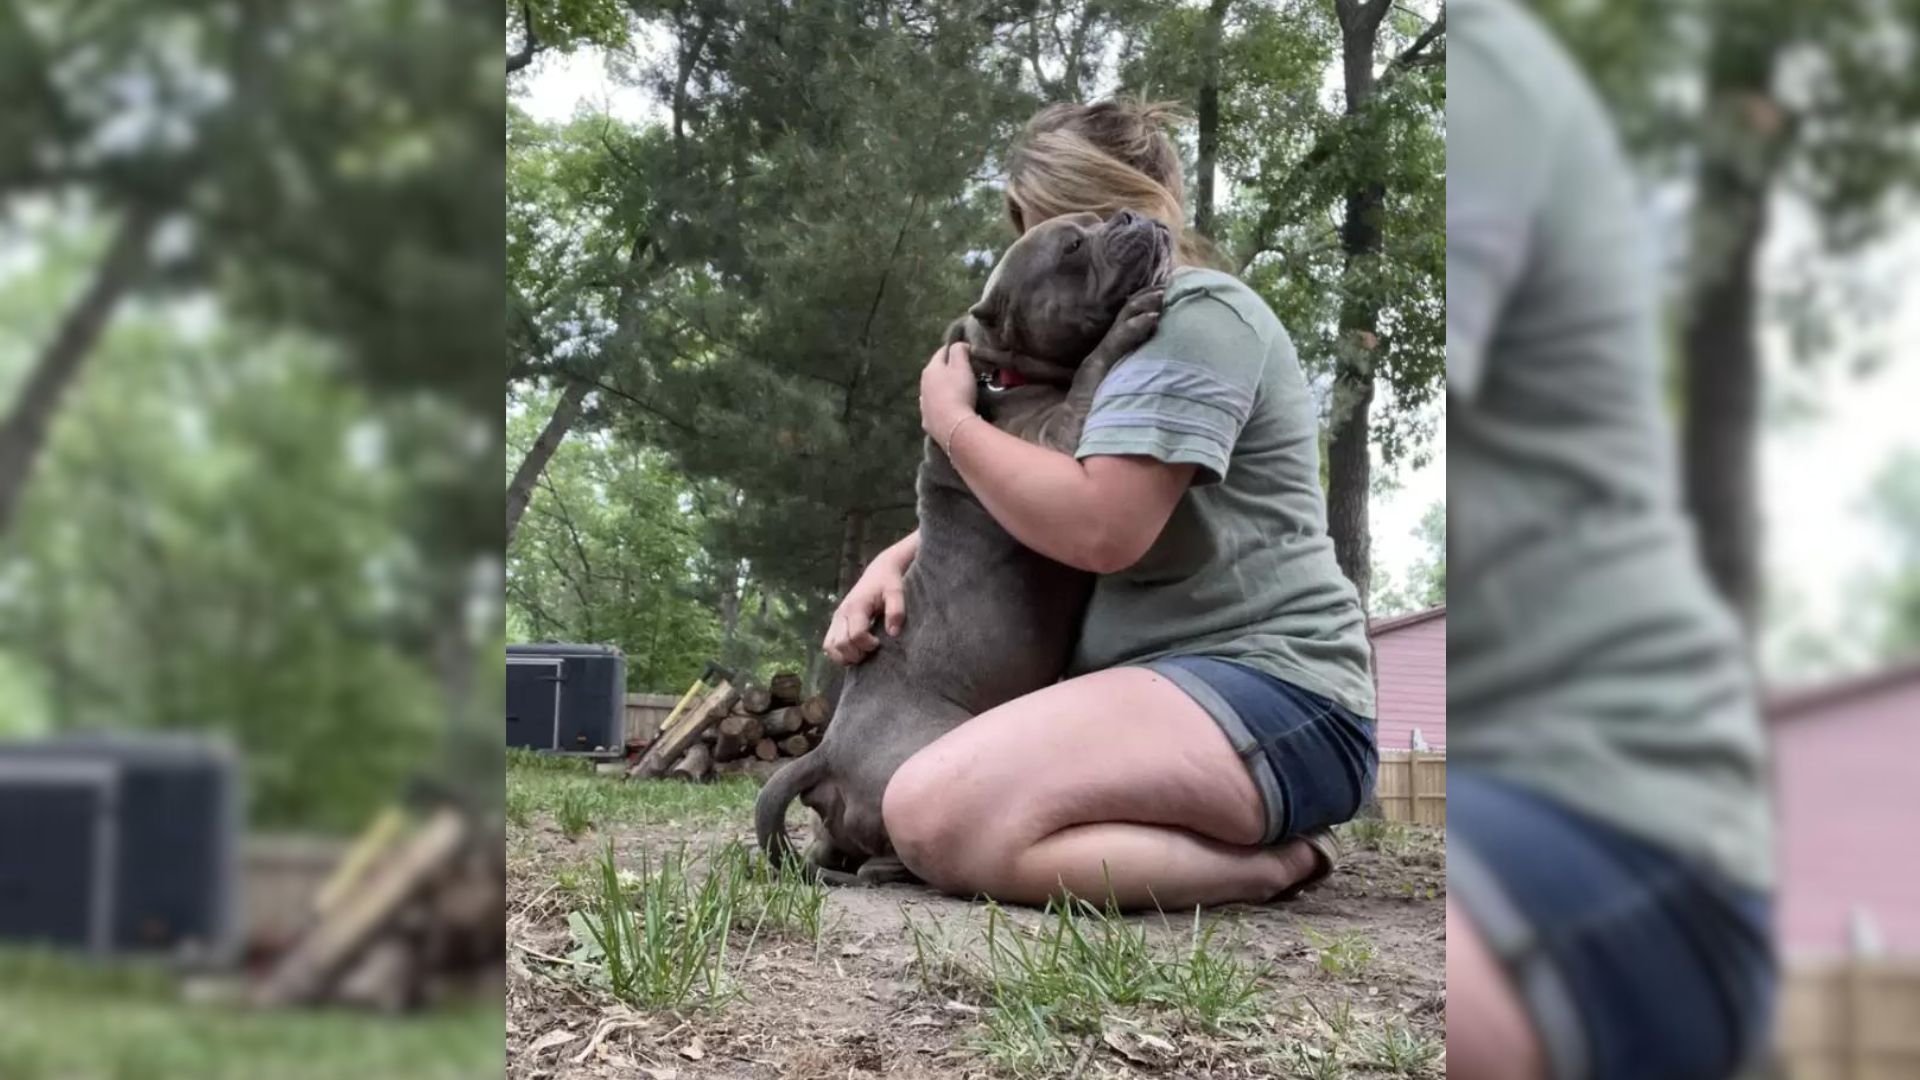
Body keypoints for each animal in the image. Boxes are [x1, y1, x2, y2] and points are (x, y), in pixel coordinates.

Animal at [748, 210, 1167, 883]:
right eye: (1073, 246)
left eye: (1102, 219)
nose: (1131, 214)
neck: (1008, 371)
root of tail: (826, 750)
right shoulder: (1052, 451)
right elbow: (1088, 375)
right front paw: (1125, 327)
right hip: (932, 754)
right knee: (887, 852)